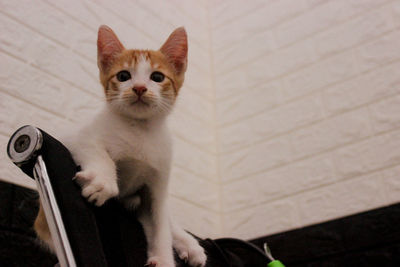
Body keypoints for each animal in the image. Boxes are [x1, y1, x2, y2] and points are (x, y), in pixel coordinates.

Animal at [34, 25, 206, 267]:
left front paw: (164, 258)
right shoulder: (72, 136)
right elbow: (94, 148)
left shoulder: (158, 181)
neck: (139, 130)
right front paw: (103, 182)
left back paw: (189, 245)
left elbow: (160, 221)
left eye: (157, 77)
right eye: (124, 76)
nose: (140, 88)